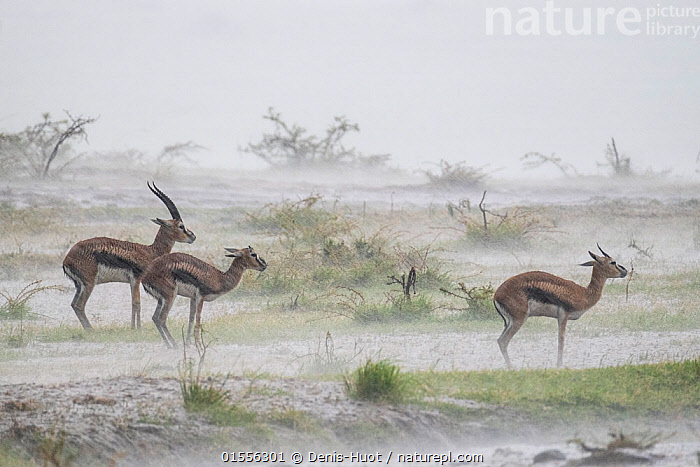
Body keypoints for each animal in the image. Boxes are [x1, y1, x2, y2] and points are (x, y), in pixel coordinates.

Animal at [63, 182, 196, 330]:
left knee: (74, 304)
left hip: (79, 286)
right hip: (89, 283)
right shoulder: (136, 280)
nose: (193, 237)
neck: (151, 251)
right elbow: (137, 303)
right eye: (181, 226)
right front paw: (137, 329)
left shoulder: (132, 282)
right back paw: (91, 330)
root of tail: (68, 259)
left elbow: (134, 303)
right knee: (79, 305)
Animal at [493, 245, 627, 369]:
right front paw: (559, 365)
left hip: (510, 321)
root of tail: (496, 295)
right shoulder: (564, 315)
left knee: (499, 340)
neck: (583, 293)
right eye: (612, 262)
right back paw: (512, 368)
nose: (625, 271)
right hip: (519, 319)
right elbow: (561, 340)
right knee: (504, 341)